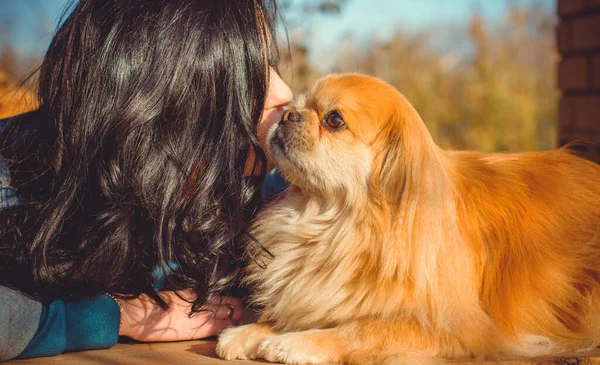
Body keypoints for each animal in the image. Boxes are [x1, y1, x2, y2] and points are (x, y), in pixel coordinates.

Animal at [217, 72, 600, 362]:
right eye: (295, 107)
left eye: (334, 120)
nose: (287, 115)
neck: (336, 224)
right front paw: (252, 331)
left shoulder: (456, 330)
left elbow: (363, 328)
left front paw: (297, 341)